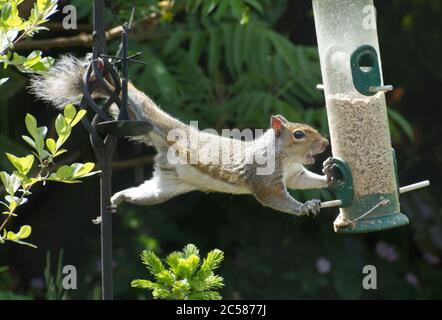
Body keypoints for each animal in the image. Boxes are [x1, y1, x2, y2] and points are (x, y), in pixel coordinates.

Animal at [29, 55, 332, 218]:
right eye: (299, 134)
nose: (325, 143)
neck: (284, 156)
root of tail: (179, 134)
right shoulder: (265, 178)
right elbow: (276, 198)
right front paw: (304, 207)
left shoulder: (294, 173)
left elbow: (303, 180)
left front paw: (327, 178)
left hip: (163, 188)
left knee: (144, 194)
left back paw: (119, 198)